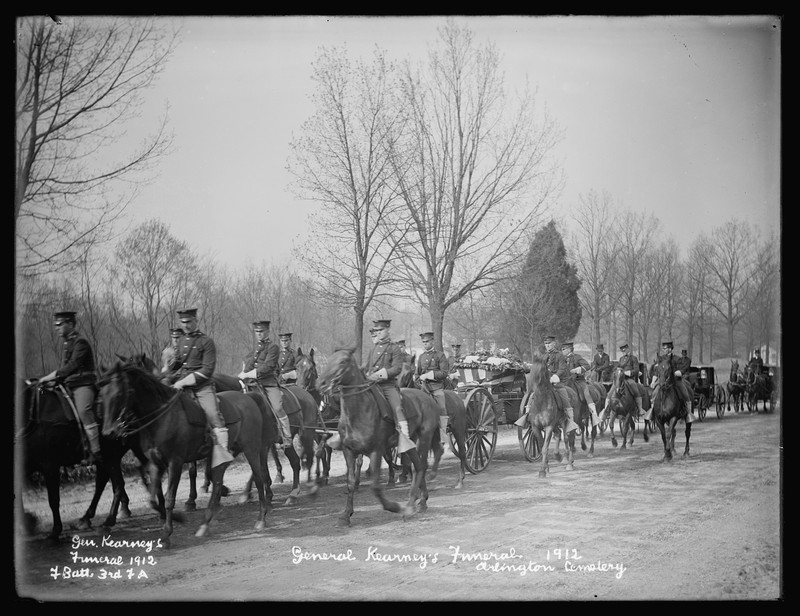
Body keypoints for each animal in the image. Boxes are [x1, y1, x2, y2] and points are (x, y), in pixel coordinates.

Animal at [97, 360, 276, 548]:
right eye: (101, 396)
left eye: (118, 394)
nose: (109, 432)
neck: (162, 419)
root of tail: (249, 398)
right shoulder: (155, 463)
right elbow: (153, 499)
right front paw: (178, 518)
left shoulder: (175, 462)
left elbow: (169, 498)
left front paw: (167, 534)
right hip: (225, 453)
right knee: (218, 483)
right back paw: (205, 523)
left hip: (251, 448)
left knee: (258, 477)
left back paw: (261, 518)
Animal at [314, 348, 438, 528]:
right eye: (330, 359)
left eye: (343, 361)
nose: (321, 383)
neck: (360, 410)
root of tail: (427, 398)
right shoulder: (348, 451)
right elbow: (350, 482)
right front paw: (345, 515)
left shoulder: (376, 451)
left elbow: (374, 486)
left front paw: (393, 506)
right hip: (410, 443)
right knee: (418, 466)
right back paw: (420, 502)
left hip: (424, 438)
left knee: (420, 466)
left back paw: (410, 506)